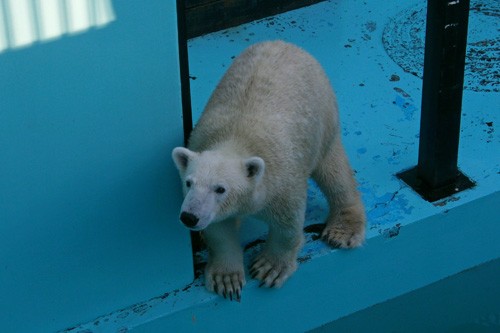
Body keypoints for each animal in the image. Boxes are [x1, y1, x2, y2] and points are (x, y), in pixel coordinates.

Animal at [174, 40, 366, 300]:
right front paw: (227, 278)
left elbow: (288, 225)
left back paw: (343, 230)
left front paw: (269, 267)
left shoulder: (283, 180)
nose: (189, 217)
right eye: (189, 182)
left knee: (334, 172)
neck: (236, 139)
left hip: (323, 117)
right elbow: (219, 229)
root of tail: (285, 44)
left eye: (220, 188)